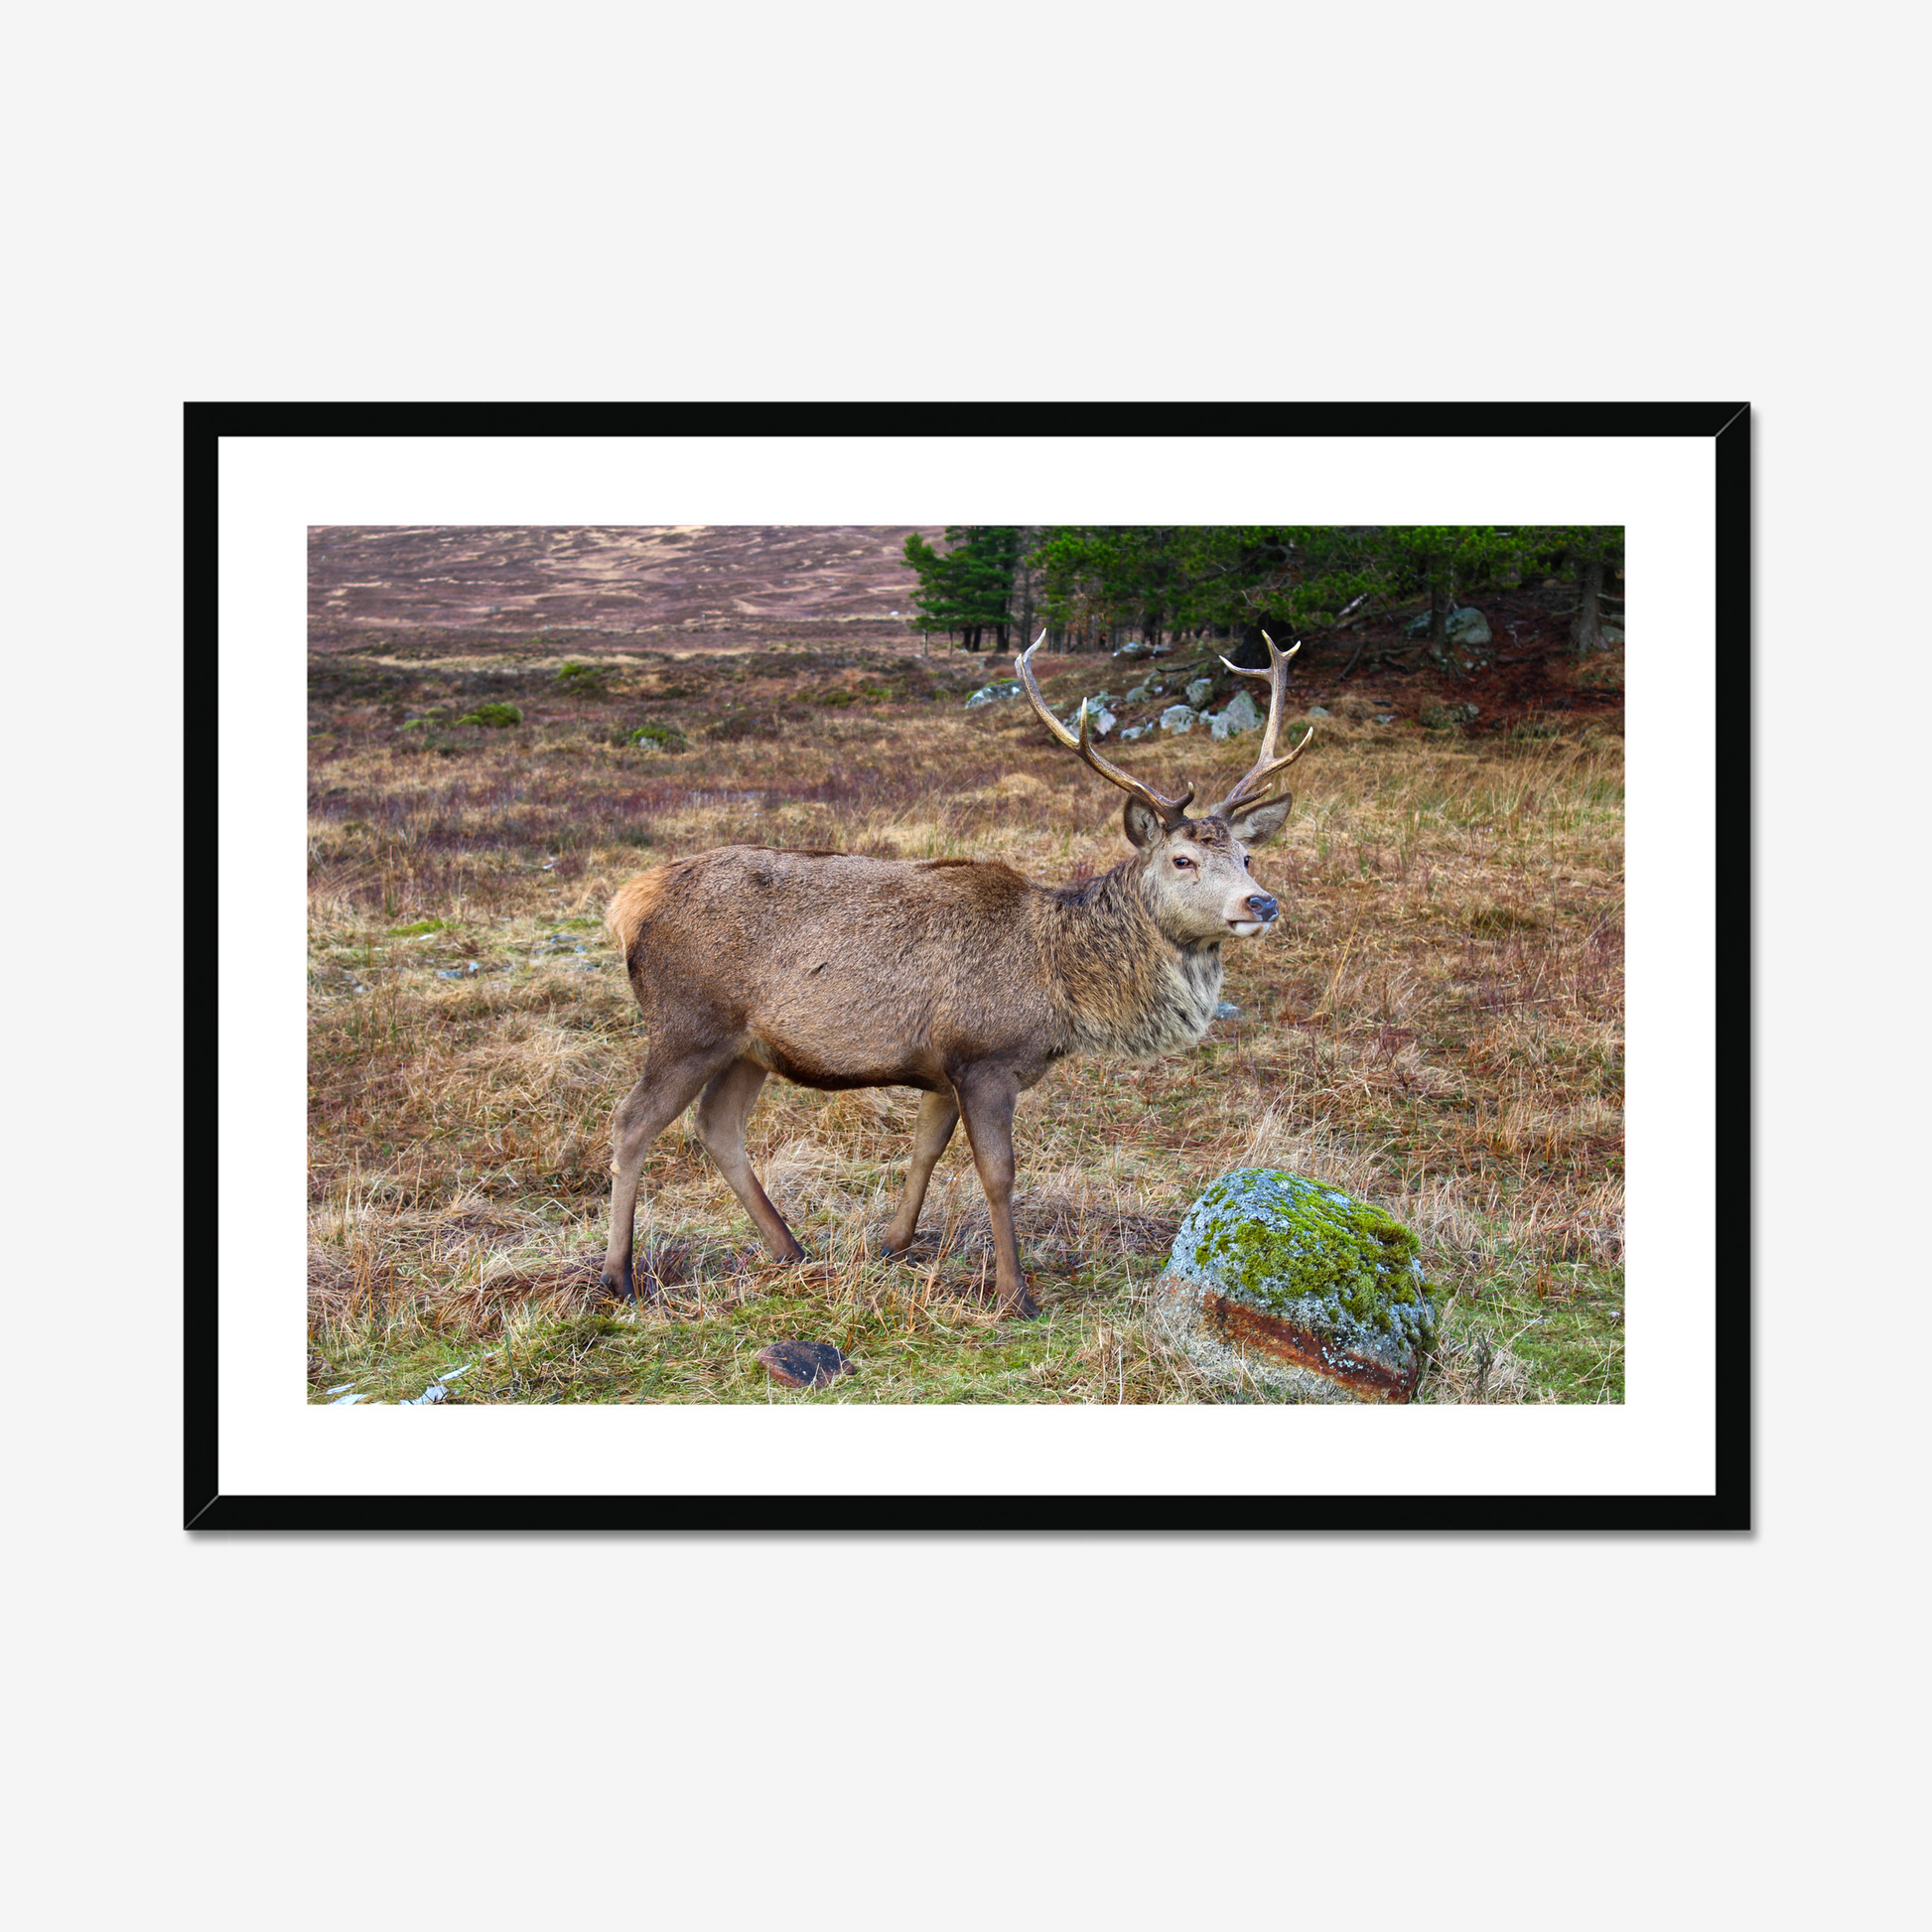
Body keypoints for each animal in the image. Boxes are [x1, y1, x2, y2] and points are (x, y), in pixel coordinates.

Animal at [600, 632, 1314, 1320]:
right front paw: (1015, 1294)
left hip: (749, 1047)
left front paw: (892, 1245)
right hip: (687, 1024)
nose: (1261, 903)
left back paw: (790, 1248)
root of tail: (628, 901)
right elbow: (998, 1174)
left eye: (1247, 855)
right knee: (631, 1122)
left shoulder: (941, 1069)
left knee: (717, 1126)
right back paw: (620, 1277)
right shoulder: (984, 1058)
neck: (1061, 987)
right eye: (1182, 859)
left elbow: (924, 1150)